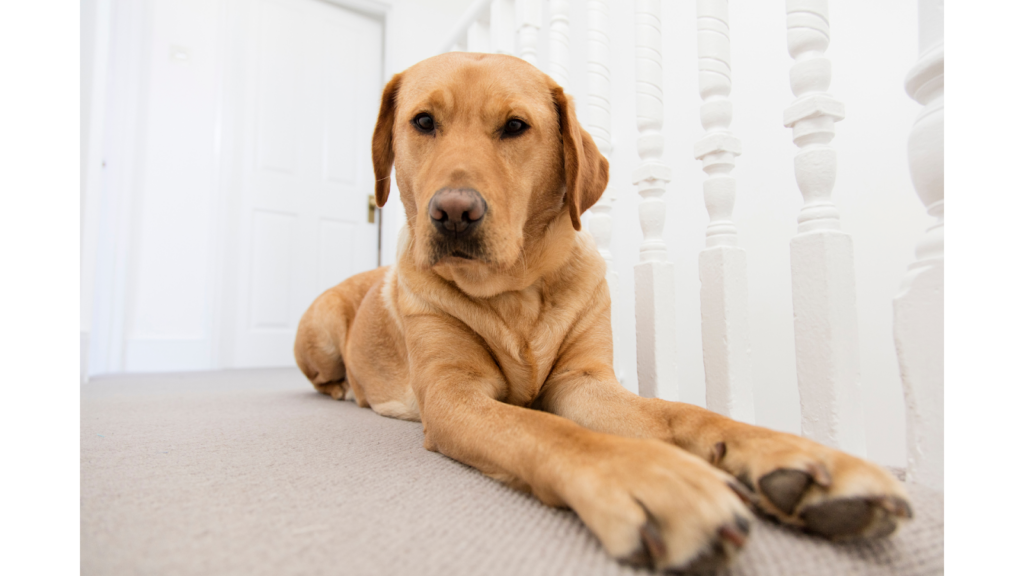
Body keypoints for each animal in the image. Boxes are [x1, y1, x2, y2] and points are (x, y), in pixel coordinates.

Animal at [292, 52, 909, 569]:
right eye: (423, 122)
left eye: (515, 126)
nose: (454, 213)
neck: (515, 292)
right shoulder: (452, 395)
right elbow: (547, 430)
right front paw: (650, 476)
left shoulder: (585, 382)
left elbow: (683, 414)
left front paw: (788, 454)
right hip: (317, 330)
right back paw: (348, 390)